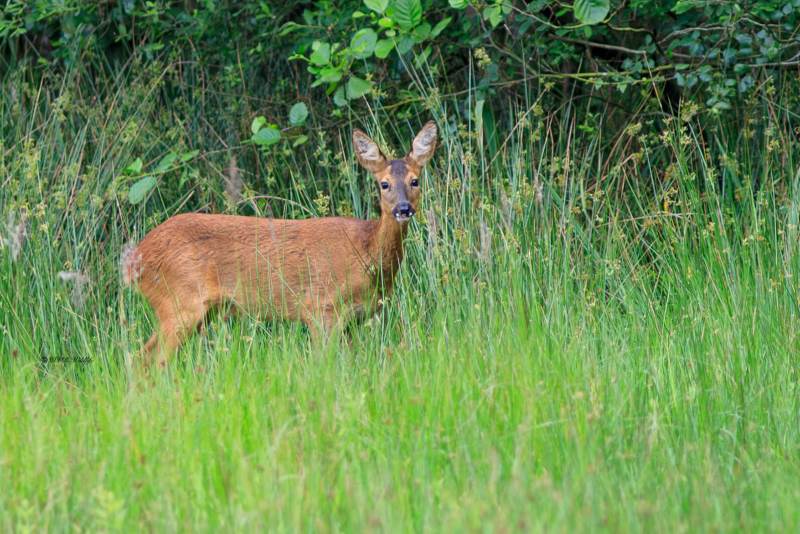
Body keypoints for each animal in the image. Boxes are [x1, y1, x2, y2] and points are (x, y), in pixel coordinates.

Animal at [121, 121, 437, 366]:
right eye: (384, 184)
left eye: (415, 181)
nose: (403, 209)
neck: (366, 251)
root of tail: (135, 259)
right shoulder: (319, 308)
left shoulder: (352, 321)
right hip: (179, 302)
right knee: (147, 361)